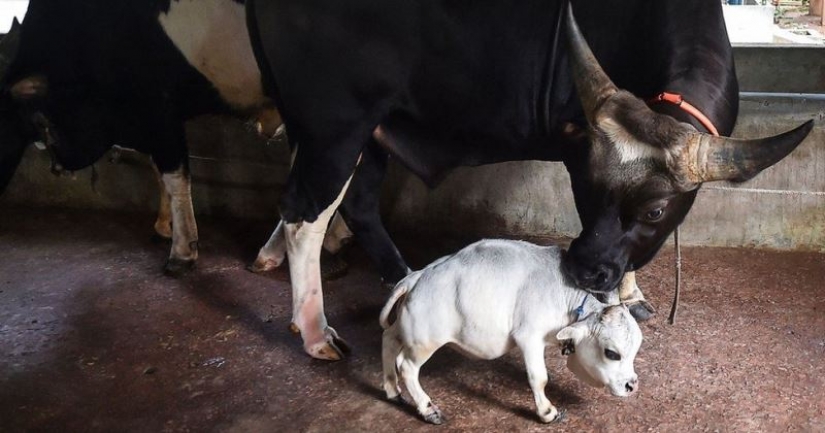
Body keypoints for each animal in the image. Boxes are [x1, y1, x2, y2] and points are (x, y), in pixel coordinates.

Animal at [0, 0, 410, 284]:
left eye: (37, 120)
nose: (56, 166)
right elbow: (159, 169)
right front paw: (163, 226)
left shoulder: (156, 104)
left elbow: (174, 175)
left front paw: (181, 252)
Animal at [246, 0, 814, 360]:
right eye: (584, 189)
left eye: (655, 210)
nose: (582, 270)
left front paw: (631, 292)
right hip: (336, 128)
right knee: (304, 214)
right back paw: (316, 331)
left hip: (371, 132)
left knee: (357, 204)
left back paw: (398, 276)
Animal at [379, 239, 642, 424]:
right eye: (612, 353)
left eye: (634, 352)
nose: (632, 386)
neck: (563, 294)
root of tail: (416, 277)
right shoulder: (529, 337)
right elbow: (539, 377)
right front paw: (547, 412)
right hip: (425, 341)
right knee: (407, 367)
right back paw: (428, 409)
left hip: (405, 330)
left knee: (388, 340)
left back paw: (392, 390)